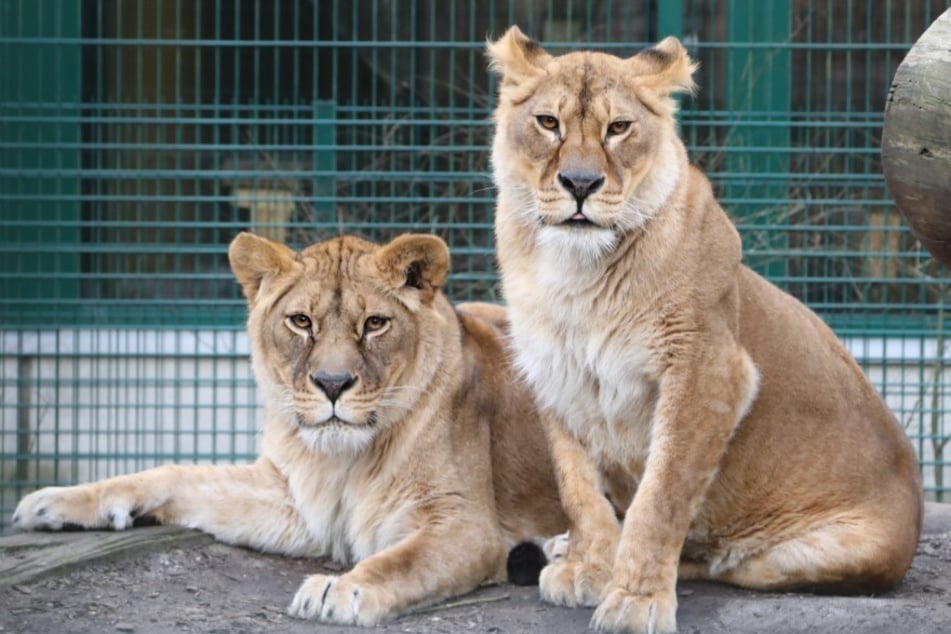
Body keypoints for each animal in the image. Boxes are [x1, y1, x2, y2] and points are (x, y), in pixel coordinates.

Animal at [11, 231, 564, 624]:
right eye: (301, 322)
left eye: (375, 324)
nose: (333, 384)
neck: (343, 457)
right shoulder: (294, 501)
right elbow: (176, 476)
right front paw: (54, 503)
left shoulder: (467, 524)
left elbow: (404, 560)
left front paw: (343, 588)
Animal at [488, 25, 924, 632]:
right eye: (548, 123)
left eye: (619, 128)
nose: (580, 183)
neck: (578, 272)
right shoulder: (554, 370)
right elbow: (577, 487)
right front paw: (588, 565)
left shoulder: (709, 370)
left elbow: (661, 495)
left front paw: (635, 598)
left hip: (812, 556)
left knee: (720, 559)